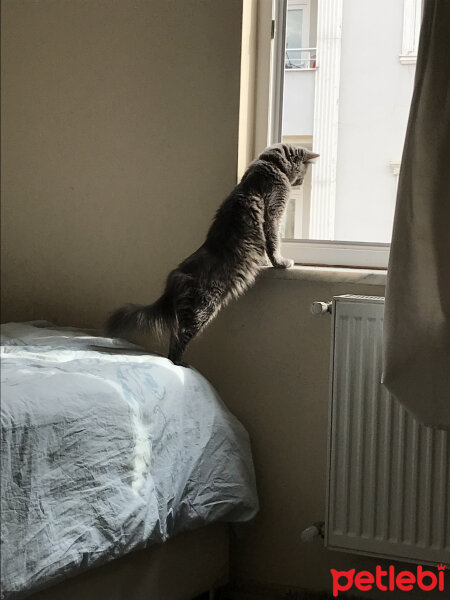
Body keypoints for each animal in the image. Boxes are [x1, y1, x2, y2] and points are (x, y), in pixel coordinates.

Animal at [107, 143, 318, 364]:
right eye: (304, 171)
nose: (301, 182)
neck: (270, 164)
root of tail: (174, 276)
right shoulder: (274, 211)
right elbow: (274, 242)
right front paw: (281, 263)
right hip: (202, 310)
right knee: (179, 338)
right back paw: (181, 363)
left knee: (174, 335)